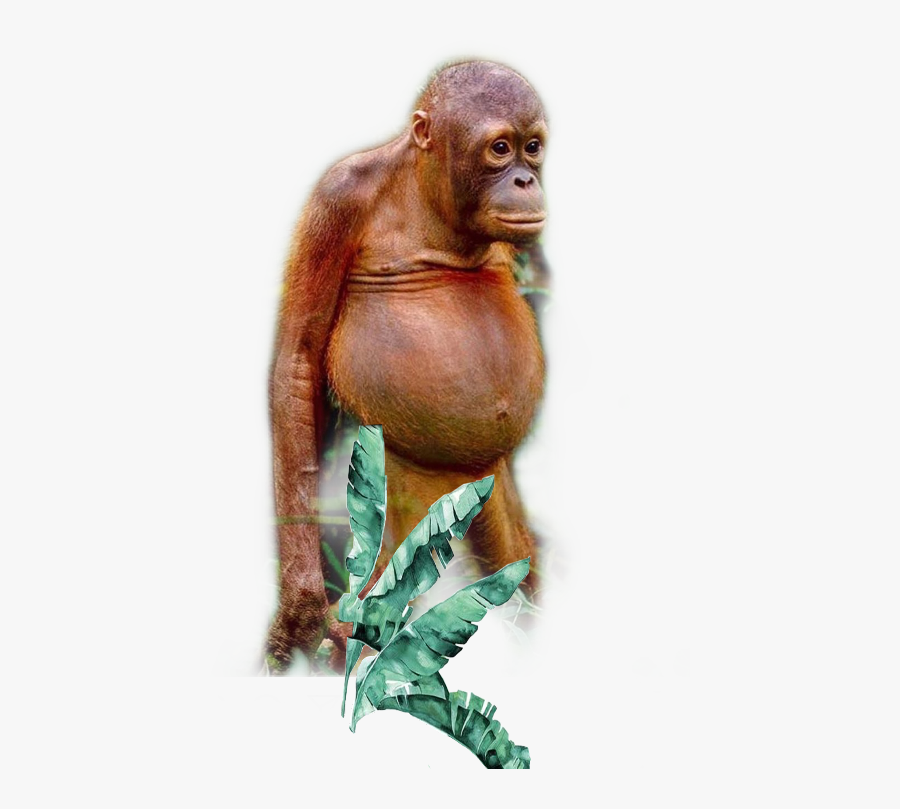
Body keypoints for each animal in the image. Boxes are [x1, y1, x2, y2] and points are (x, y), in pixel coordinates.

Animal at [267, 61, 549, 671]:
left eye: (533, 148)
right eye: (500, 149)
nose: (525, 180)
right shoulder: (337, 194)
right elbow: (298, 361)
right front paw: (302, 606)